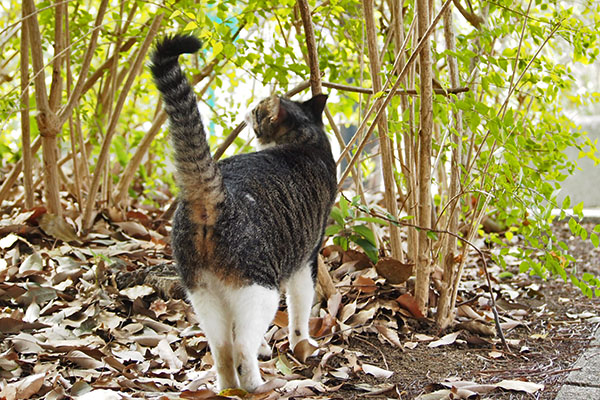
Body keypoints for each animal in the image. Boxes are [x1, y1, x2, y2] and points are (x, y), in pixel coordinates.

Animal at [150, 36, 338, 392]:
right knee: (240, 345)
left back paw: (228, 388)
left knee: (222, 347)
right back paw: (255, 385)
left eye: (256, 110)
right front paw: (301, 343)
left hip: (202, 291)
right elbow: (300, 308)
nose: (249, 107)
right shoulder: (305, 259)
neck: (305, 138)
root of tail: (214, 195)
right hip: (259, 289)